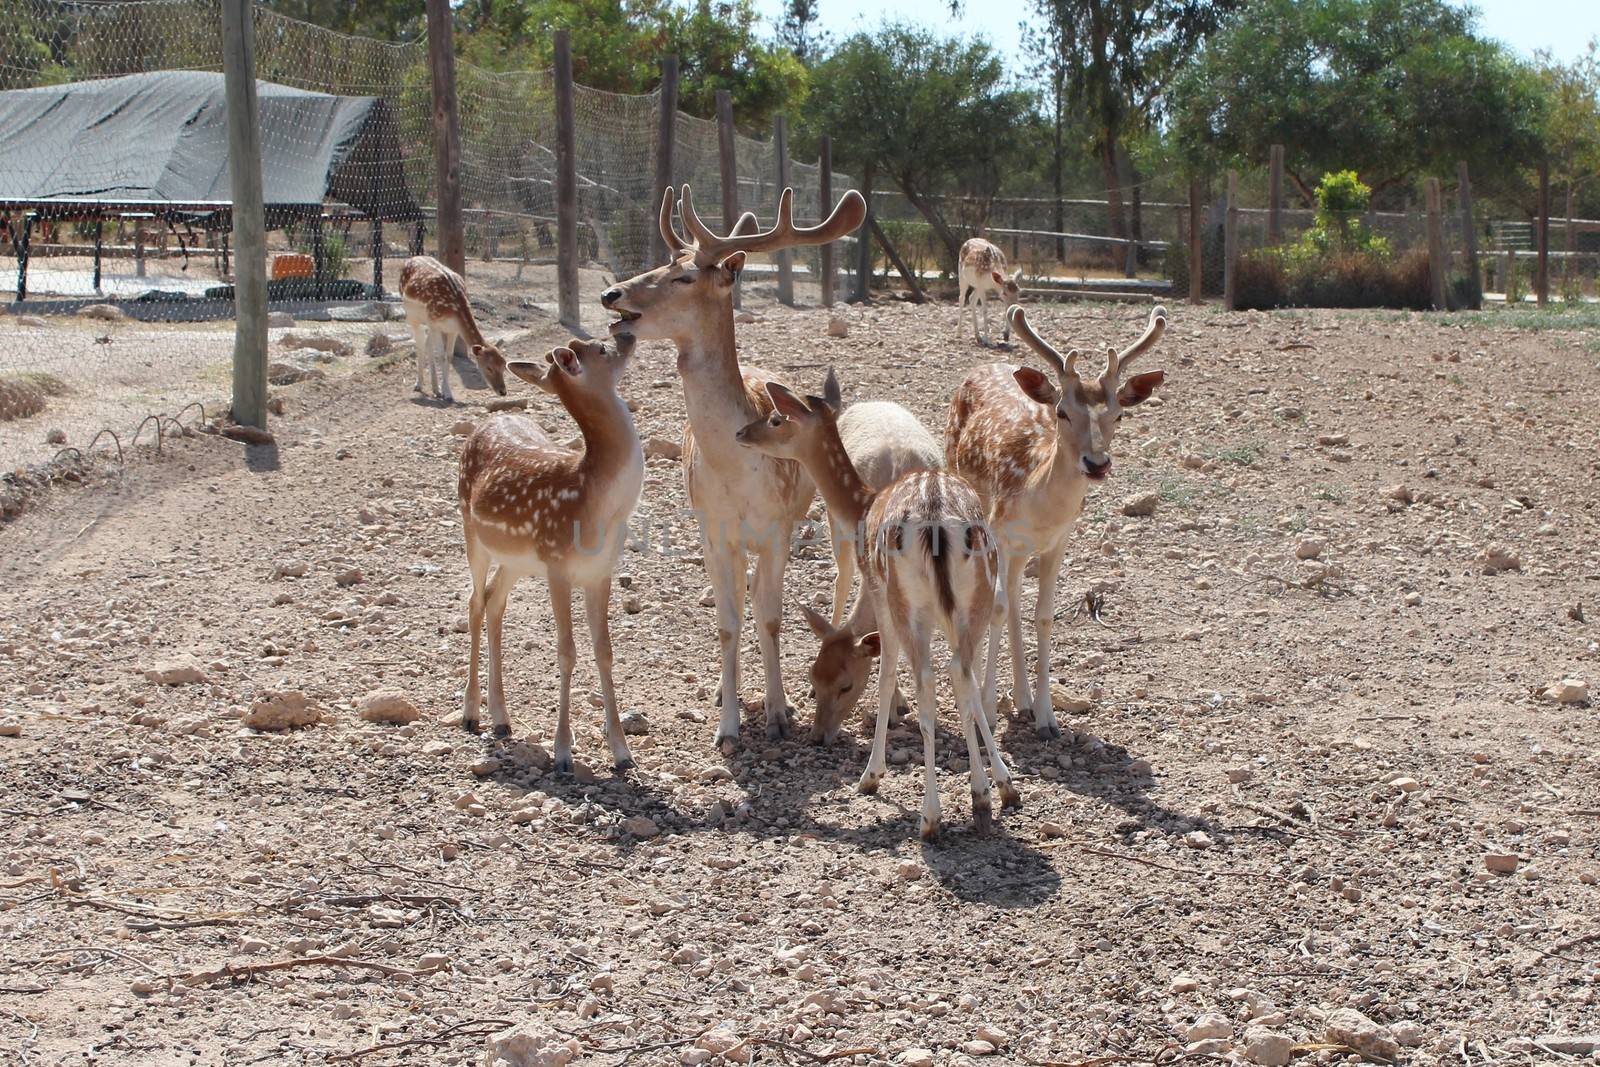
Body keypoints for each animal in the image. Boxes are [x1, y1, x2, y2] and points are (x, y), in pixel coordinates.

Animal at [398, 255, 505, 403]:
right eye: (489, 367)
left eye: (504, 365)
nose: (503, 391)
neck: (454, 309)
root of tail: (411, 258)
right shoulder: (435, 323)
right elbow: (441, 356)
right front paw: (446, 393)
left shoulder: (453, 329)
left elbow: (449, 356)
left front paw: (446, 392)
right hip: (413, 317)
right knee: (420, 345)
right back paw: (419, 385)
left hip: (428, 324)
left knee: (427, 344)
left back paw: (435, 389)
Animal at [454, 331, 640, 767]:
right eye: (601, 348)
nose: (625, 333)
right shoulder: (558, 566)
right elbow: (567, 650)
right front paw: (562, 751)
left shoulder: (601, 571)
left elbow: (604, 650)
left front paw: (622, 751)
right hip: (471, 529)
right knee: (474, 602)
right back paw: (471, 713)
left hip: (516, 560)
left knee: (494, 600)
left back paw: (501, 719)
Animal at [595, 185, 864, 751]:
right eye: (661, 262)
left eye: (684, 277)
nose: (611, 295)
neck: (736, 471)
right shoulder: (714, 531)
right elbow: (726, 622)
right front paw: (728, 726)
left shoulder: (777, 529)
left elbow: (771, 618)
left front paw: (780, 713)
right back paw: (727, 690)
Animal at [732, 375, 1017, 844]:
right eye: (812, 680)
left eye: (775, 418)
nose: (741, 433)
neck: (862, 504)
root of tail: (937, 523)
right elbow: (970, 687)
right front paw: (1002, 786)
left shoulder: (880, 590)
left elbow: (884, 677)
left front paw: (872, 775)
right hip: (974, 592)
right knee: (958, 669)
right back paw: (981, 801)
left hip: (905, 599)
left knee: (927, 682)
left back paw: (929, 817)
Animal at [940, 303, 1171, 739]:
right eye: (1062, 411)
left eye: (1119, 415)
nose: (1096, 463)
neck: (1038, 505)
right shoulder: (999, 532)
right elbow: (996, 608)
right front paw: (988, 712)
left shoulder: (1058, 542)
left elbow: (1043, 615)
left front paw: (1047, 717)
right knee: (994, 598)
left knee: (1015, 596)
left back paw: (1023, 699)